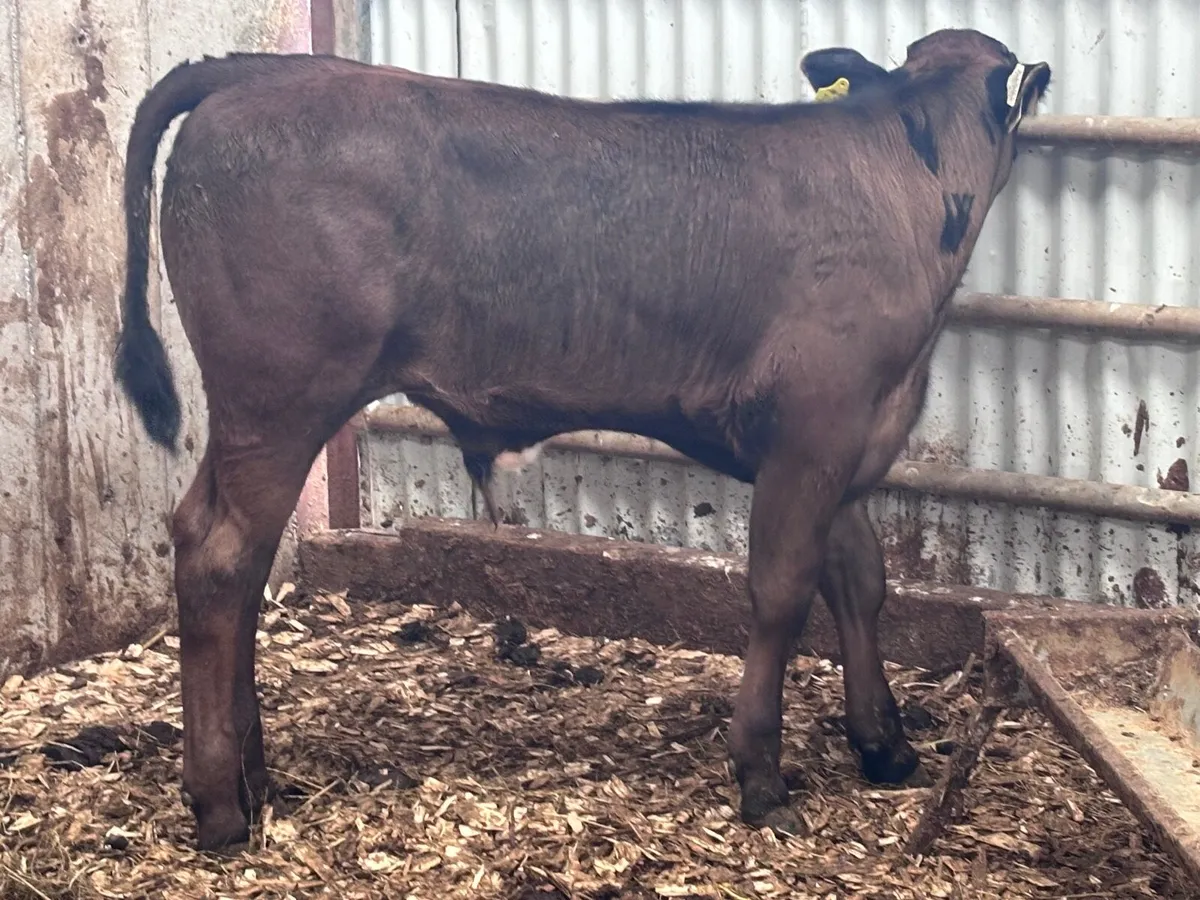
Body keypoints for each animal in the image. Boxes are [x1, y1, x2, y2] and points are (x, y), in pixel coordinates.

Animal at [114, 29, 1050, 851]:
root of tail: (262, 70)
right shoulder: (812, 430)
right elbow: (783, 592)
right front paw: (761, 776)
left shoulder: (851, 439)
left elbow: (860, 579)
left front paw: (883, 743)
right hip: (281, 398)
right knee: (222, 557)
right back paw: (220, 807)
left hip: (255, 410)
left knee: (223, 551)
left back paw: (253, 777)